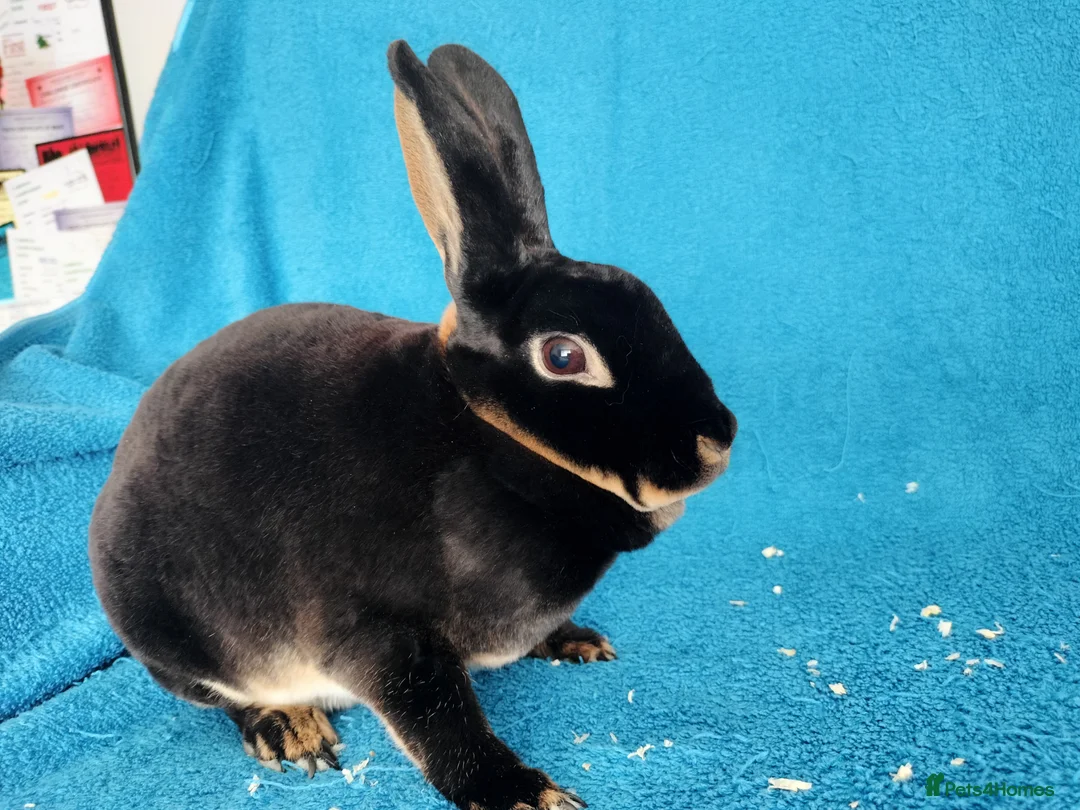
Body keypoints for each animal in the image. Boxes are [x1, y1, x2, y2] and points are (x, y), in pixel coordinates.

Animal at [89, 40, 737, 810]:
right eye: (563, 356)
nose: (717, 439)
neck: (488, 442)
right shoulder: (383, 634)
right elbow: (440, 723)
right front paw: (525, 794)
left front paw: (574, 641)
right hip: (177, 634)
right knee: (227, 698)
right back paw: (292, 731)